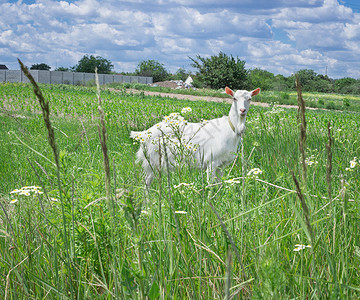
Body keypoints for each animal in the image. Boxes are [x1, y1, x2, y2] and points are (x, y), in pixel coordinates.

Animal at [131, 85, 260, 186]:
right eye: (234, 98)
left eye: (250, 98)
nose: (242, 110)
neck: (231, 129)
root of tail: (144, 134)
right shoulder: (211, 161)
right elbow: (210, 184)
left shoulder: (221, 164)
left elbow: (219, 184)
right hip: (151, 160)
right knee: (146, 181)